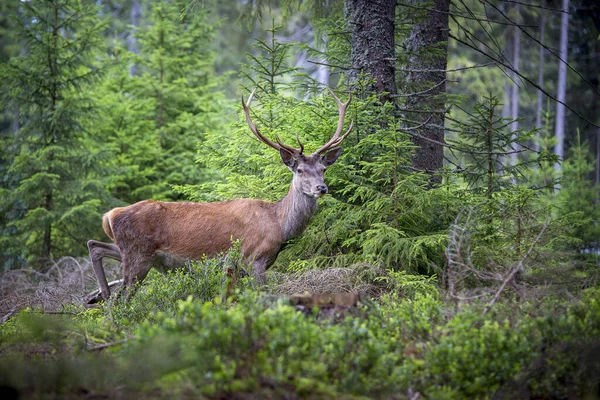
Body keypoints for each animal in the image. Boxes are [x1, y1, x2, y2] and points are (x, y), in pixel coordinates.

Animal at [86, 89, 354, 302]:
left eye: (323, 169)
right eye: (300, 170)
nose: (321, 188)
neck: (279, 223)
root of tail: (110, 216)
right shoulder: (254, 259)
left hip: (131, 251)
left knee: (95, 246)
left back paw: (100, 294)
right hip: (138, 255)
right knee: (123, 297)